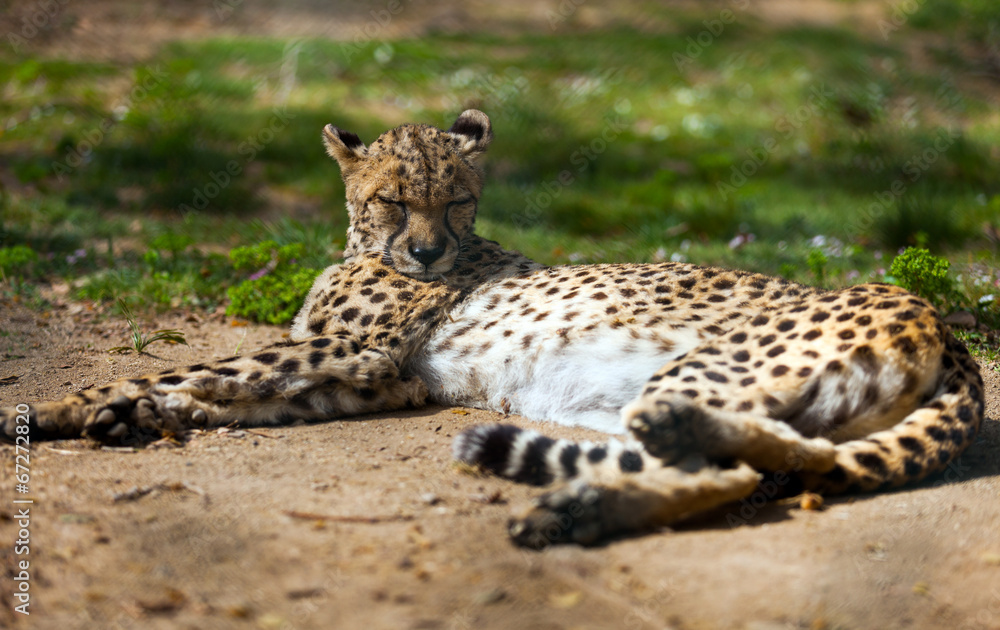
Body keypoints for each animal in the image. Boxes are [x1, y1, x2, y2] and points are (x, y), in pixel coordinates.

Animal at [0, 110, 984, 548]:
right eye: (394, 199)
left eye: (457, 201)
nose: (429, 251)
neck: (365, 246)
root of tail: (941, 316)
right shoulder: (376, 375)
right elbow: (226, 388)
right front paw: (128, 417)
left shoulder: (357, 352)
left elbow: (194, 367)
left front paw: (63, 407)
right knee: (762, 463)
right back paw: (585, 505)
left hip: (700, 371)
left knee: (747, 458)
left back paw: (579, 504)